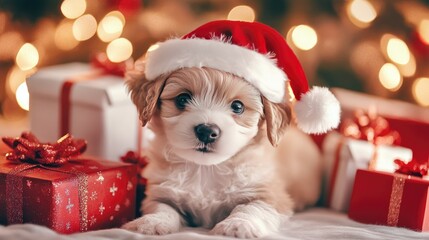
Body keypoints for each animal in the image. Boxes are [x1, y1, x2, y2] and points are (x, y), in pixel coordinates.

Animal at [121, 60, 320, 238]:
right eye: (182, 99)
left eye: (238, 106)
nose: (206, 132)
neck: (205, 168)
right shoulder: (160, 191)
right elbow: (162, 207)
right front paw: (151, 222)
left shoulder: (270, 194)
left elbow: (251, 207)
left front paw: (237, 225)